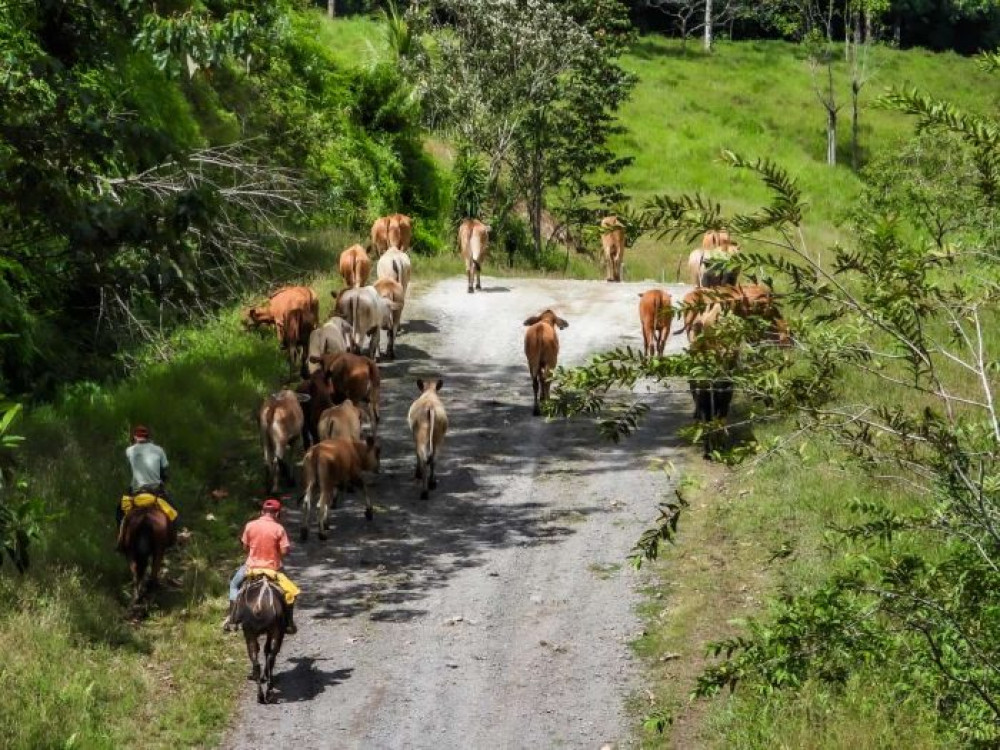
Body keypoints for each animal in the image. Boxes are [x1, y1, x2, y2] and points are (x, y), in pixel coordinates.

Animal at [238, 576, 290, 704]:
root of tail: (259, 605)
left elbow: (263, 649)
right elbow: (266, 650)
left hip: (253, 633)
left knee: (259, 658)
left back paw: (262, 693)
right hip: (275, 632)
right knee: (269, 657)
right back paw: (266, 691)